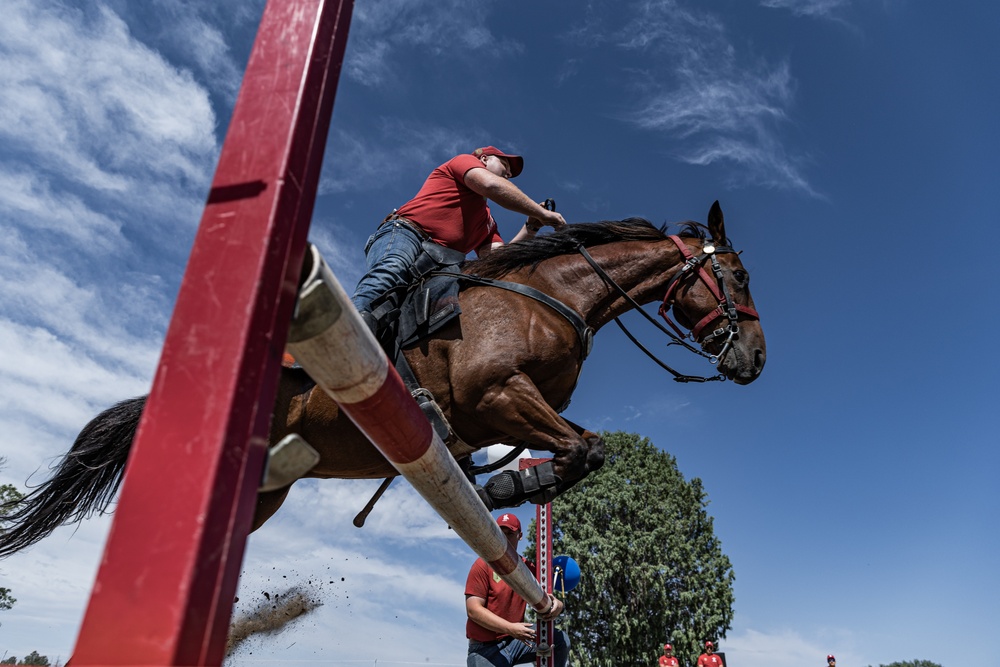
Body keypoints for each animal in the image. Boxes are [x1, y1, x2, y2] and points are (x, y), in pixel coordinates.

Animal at [0, 202, 764, 560]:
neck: (551, 294)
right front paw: (507, 488)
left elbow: (588, 447)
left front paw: (514, 486)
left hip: (265, 495)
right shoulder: (497, 393)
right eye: (738, 275)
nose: (755, 359)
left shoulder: (516, 409)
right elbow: (582, 447)